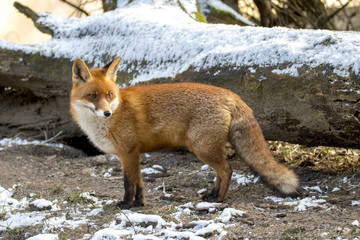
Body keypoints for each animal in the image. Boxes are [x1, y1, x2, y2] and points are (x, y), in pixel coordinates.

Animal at [69, 56, 300, 208]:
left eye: (109, 95)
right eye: (92, 96)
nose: (107, 112)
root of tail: (231, 94)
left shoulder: (128, 152)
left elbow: (129, 183)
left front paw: (126, 205)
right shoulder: (133, 154)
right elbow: (140, 183)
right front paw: (139, 204)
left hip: (202, 149)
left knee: (228, 170)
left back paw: (218, 199)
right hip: (208, 149)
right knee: (221, 172)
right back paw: (211, 194)